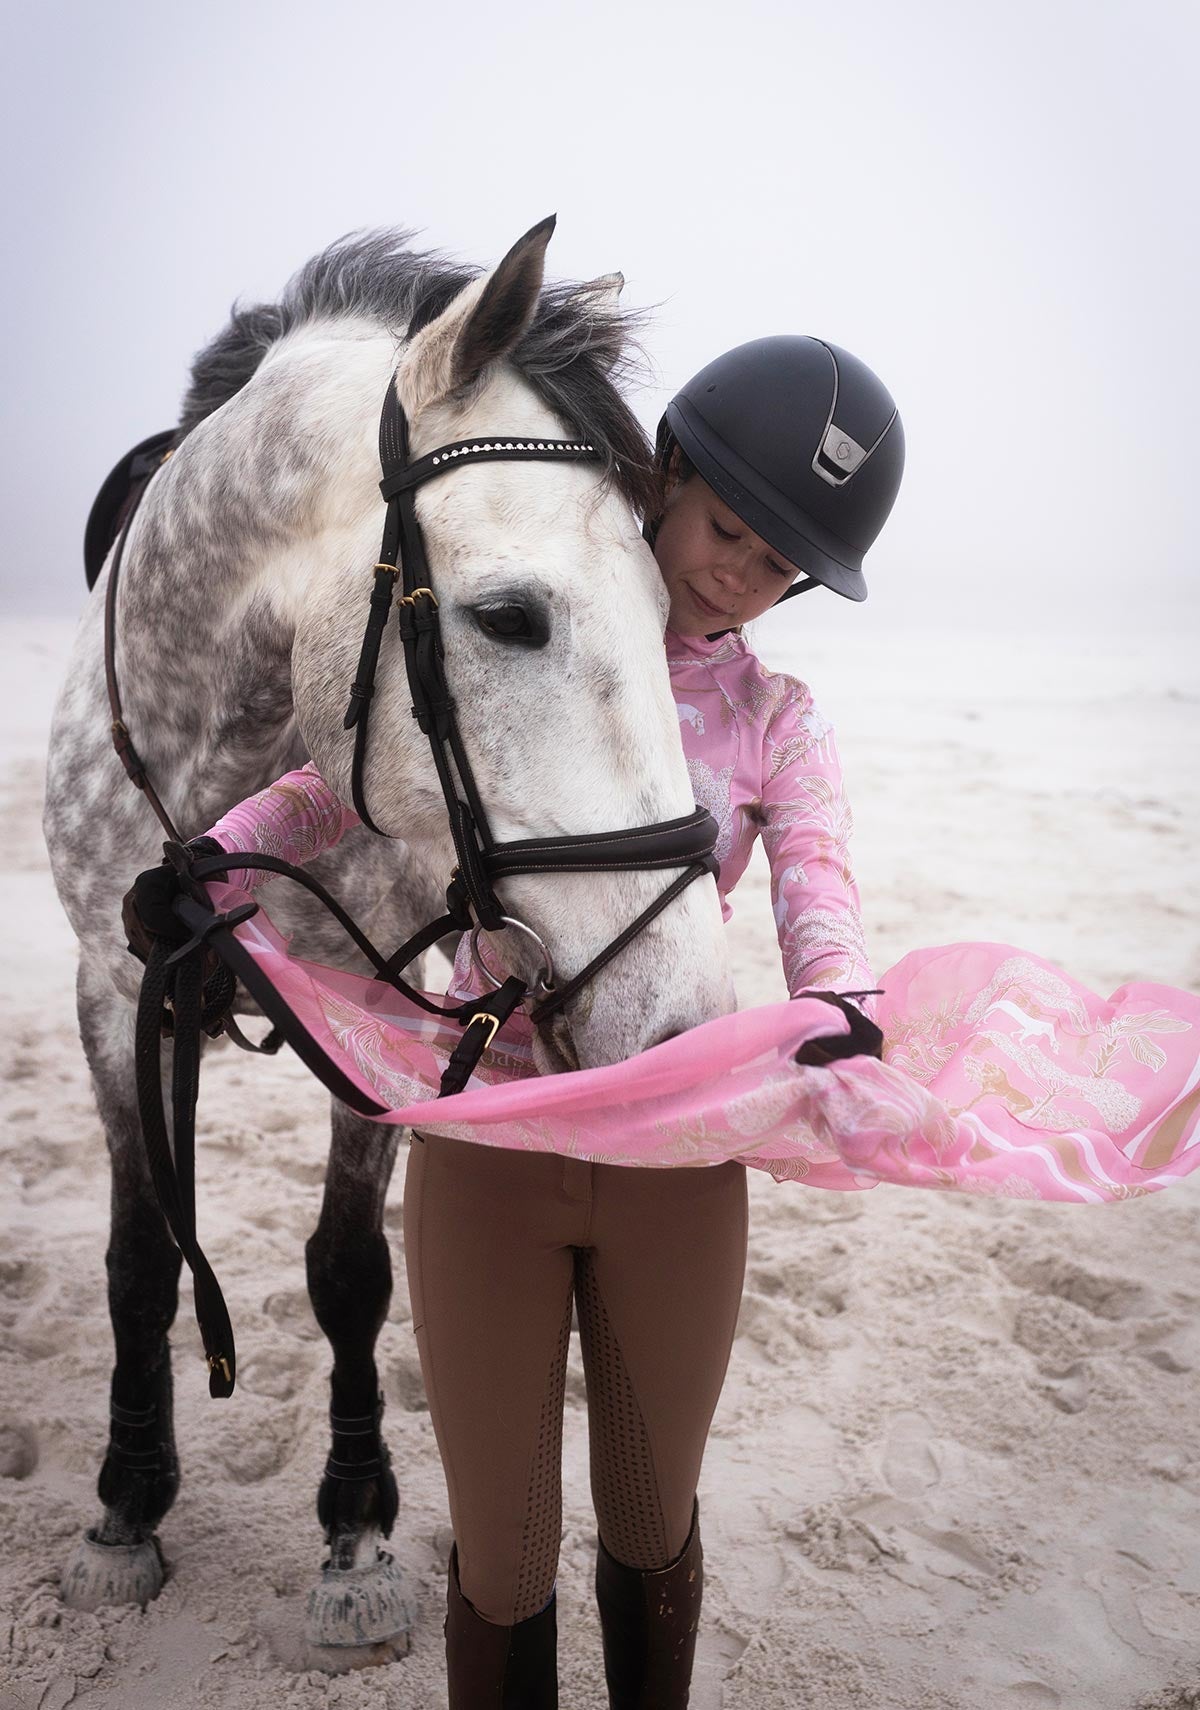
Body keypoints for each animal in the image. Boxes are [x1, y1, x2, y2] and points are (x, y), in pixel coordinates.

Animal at [42, 215, 734, 1659]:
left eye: (670, 618)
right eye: (511, 616)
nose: (687, 1024)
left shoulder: (375, 999)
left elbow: (352, 1271)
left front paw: (354, 1537)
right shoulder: (108, 988)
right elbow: (139, 1258)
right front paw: (124, 1508)